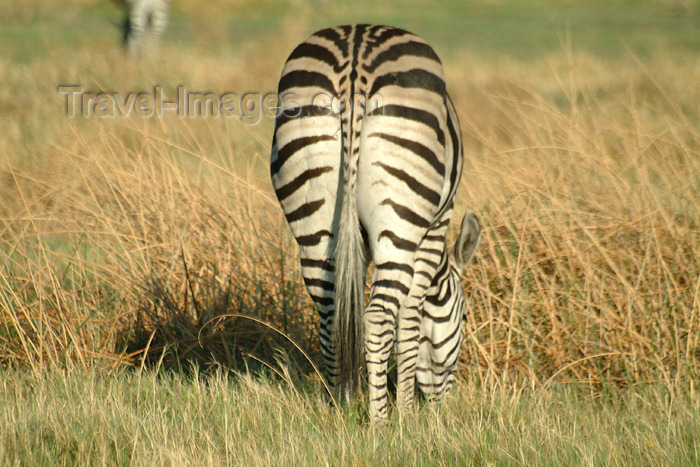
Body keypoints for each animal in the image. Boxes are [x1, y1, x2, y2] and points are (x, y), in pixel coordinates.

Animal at [270, 24, 482, 424]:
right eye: (463, 317)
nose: (442, 408)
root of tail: (355, 55)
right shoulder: (434, 231)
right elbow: (410, 321)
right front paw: (406, 413)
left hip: (314, 220)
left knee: (331, 314)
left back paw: (339, 406)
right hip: (402, 216)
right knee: (378, 320)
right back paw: (380, 422)